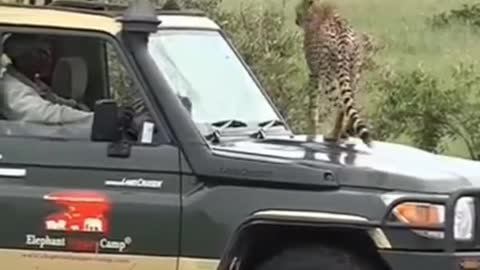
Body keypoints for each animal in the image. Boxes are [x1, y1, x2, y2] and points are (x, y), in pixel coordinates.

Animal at [294, 0, 374, 147]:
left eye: (298, 11)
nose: (296, 20)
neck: (320, 10)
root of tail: (344, 38)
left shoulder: (314, 73)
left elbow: (313, 107)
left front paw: (311, 135)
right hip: (353, 76)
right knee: (349, 105)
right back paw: (344, 133)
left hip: (328, 80)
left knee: (342, 106)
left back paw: (336, 135)